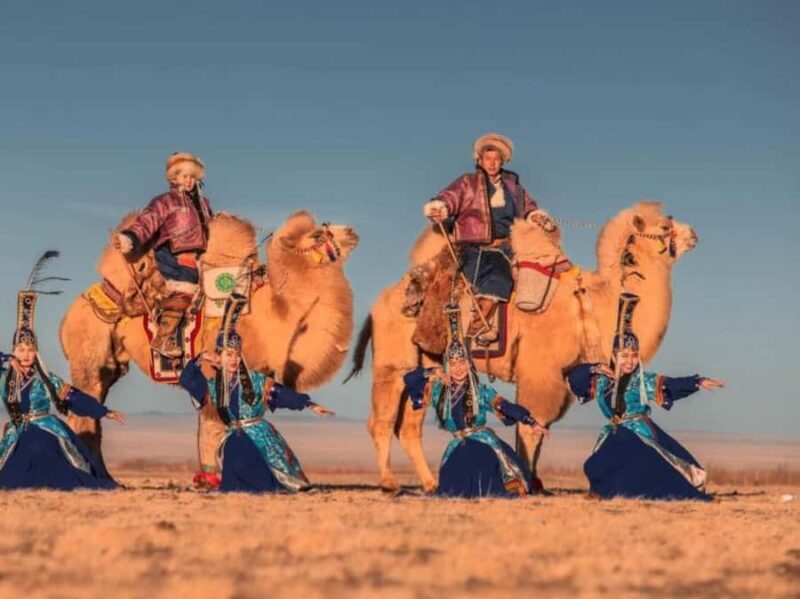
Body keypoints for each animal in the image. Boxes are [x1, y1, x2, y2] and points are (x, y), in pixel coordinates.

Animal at [60, 210, 359, 469]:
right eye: (318, 235)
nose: (351, 232)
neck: (273, 313)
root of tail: (75, 308)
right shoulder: (212, 368)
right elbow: (213, 423)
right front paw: (210, 478)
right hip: (89, 360)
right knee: (83, 413)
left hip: (110, 367)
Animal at [347, 202, 698, 492]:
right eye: (665, 226)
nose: (693, 234)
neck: (594, 304)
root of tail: (380, 302)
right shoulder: (541, 372)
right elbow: (531, 426)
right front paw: (527, 480)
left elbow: (535, 426)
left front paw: (538, 482)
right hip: (394, 363)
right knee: (380, 421)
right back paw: (390, 483)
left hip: (427, 365)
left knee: (408, 427)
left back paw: (432, 483)